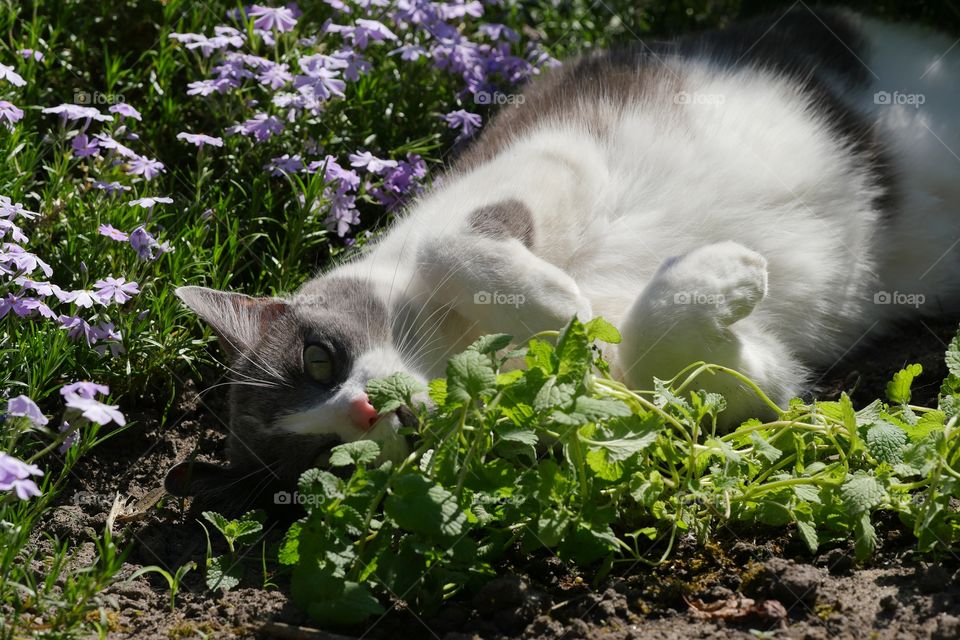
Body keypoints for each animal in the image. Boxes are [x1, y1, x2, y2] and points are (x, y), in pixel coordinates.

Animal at [165, 6, 960, 516]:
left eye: (318, 358)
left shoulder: (550, 156)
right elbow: (673, 352)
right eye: (320, 459)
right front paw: (723, 275)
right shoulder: (735, 384)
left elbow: (451, 245)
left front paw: (561, 307)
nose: (361, 412)